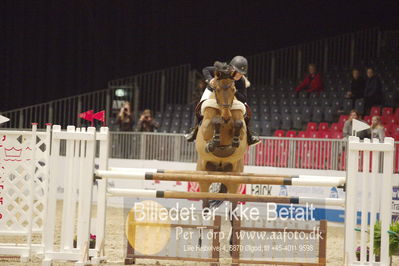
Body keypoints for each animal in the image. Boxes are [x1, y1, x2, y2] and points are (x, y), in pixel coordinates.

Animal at [196, 61, 248, 207]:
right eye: (217, 89)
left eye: (233, 90)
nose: (226, 117)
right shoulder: (205, 129)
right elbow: (214, 123)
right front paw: (213, 142)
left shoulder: (241, 129)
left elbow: (239, 125)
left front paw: (234, 140)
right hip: (203, 174)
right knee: (205, 201)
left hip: (235, 177)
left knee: (232, 201)